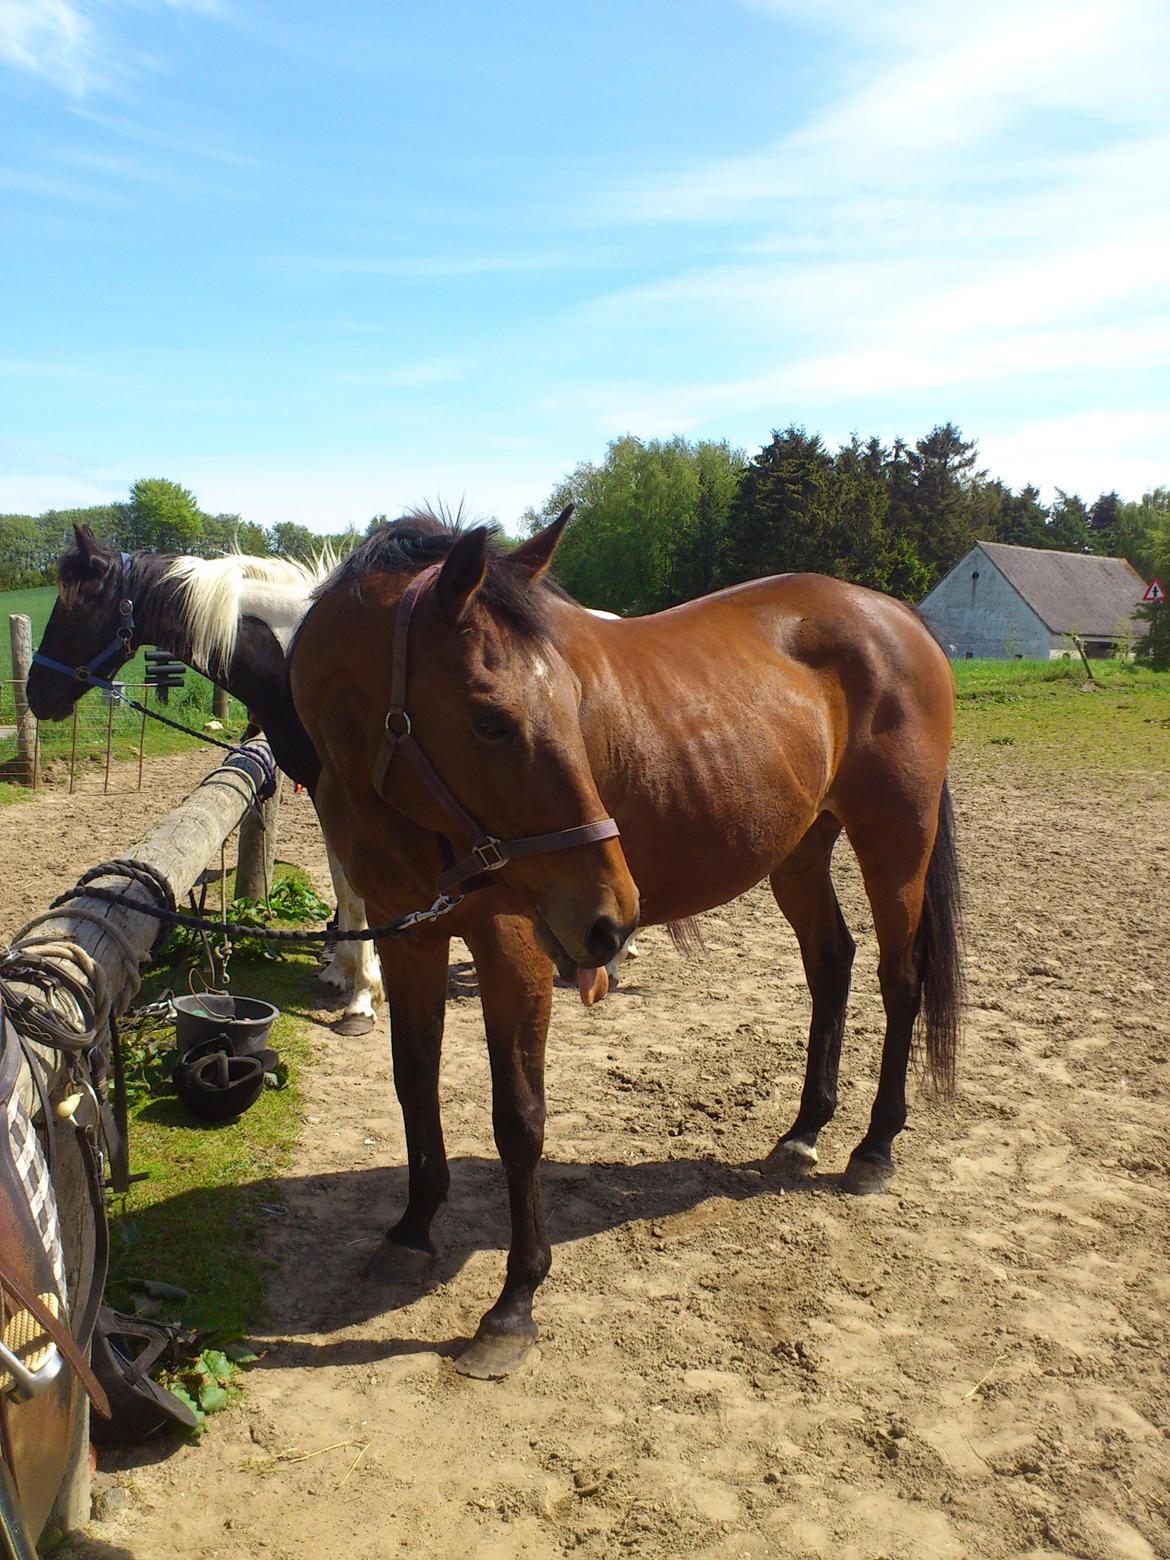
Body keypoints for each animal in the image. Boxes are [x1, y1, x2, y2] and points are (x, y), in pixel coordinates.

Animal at [293, 508, 960, 1379]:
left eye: (570, 704)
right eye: (491, 720)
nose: (612, 919)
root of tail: (898, 617)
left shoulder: (512, 948)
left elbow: (520, 1118)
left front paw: (514, 1302)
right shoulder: (411, 937)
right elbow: (415, 1084)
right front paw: (412, 1229)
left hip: (895, 847)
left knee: (898, 979)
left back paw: (875, 1148)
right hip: (799, 849)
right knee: (831, 963)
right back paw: (804, 1131)